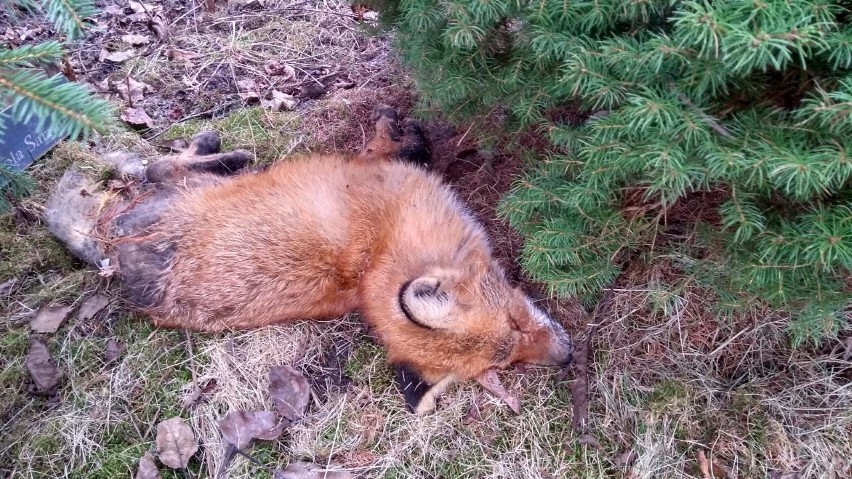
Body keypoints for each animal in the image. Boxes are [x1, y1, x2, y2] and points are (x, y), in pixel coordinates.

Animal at [48, 106, 580, 412]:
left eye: (511, 359)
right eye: (514, 329)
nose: (568, 357)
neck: (378, 252)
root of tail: (113, 259)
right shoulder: (376, 169)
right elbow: (390, 144)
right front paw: (401, 129)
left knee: (158, 166)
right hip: (184, 193)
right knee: (161, 165)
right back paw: (220, 151)